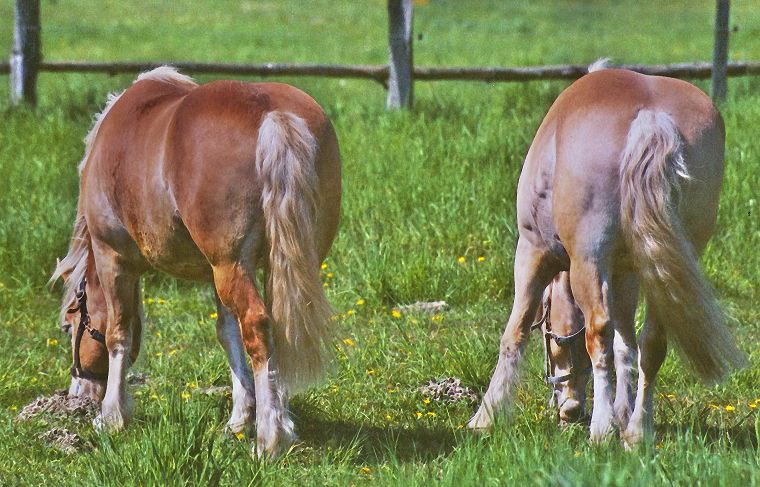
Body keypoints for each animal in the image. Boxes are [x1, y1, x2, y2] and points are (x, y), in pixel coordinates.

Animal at [50, 66, 342, 460]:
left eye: (69, 327)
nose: (77, 397)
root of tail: (271, 113)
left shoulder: (114, 259)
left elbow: (117, 333)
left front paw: (111, 416)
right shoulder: (220, 273)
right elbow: (227, 333)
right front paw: (240, 417)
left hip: (231, 266)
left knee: (258, 327)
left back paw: (269, 438)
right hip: (265, 265)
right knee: (275, 328)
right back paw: (278, 423)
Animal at [470, 63, 744, 446]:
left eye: (550, 336)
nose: (570, 410)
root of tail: (651, 117)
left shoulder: (532, 252)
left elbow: (516, 332)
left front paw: (486, 416)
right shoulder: (624, 273)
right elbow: (625, 345)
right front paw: (623, 411)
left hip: (587, 257)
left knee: (598, 329)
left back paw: (601, 428)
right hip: (667, 268)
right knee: (652, 342)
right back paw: (637, 430)